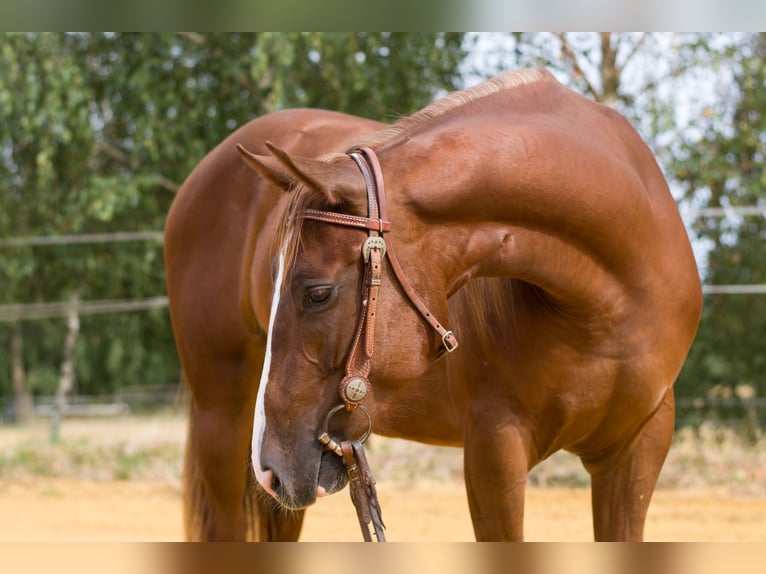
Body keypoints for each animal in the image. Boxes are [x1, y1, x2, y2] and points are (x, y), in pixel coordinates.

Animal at [166, 70, 704, 544]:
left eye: (316, 293)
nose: (269, 466)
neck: (606, 308)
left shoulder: (637, 449)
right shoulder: (493, 448)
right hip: (222, 419)